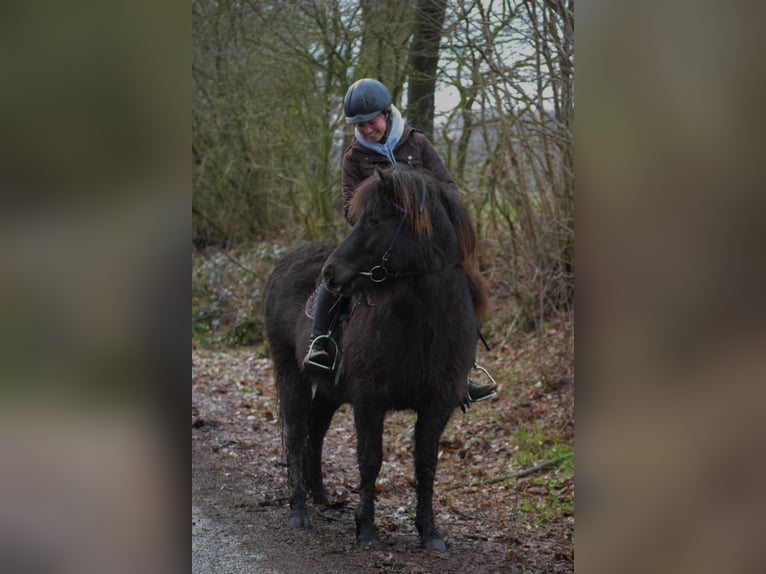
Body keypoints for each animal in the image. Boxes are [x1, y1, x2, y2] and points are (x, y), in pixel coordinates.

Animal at [264, 164, 488, 552]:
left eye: (374, 219)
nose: (330, 273)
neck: (423, 327)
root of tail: (285, 263)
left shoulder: (438, 404)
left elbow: (426, 464)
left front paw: (429, 532)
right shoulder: (369, 401)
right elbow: (370, 460)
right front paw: (367, 529)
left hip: (331, 389)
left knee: (316, 428)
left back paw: (320, 493)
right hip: (290, 371)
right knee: (295, 432)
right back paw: (299, 510)